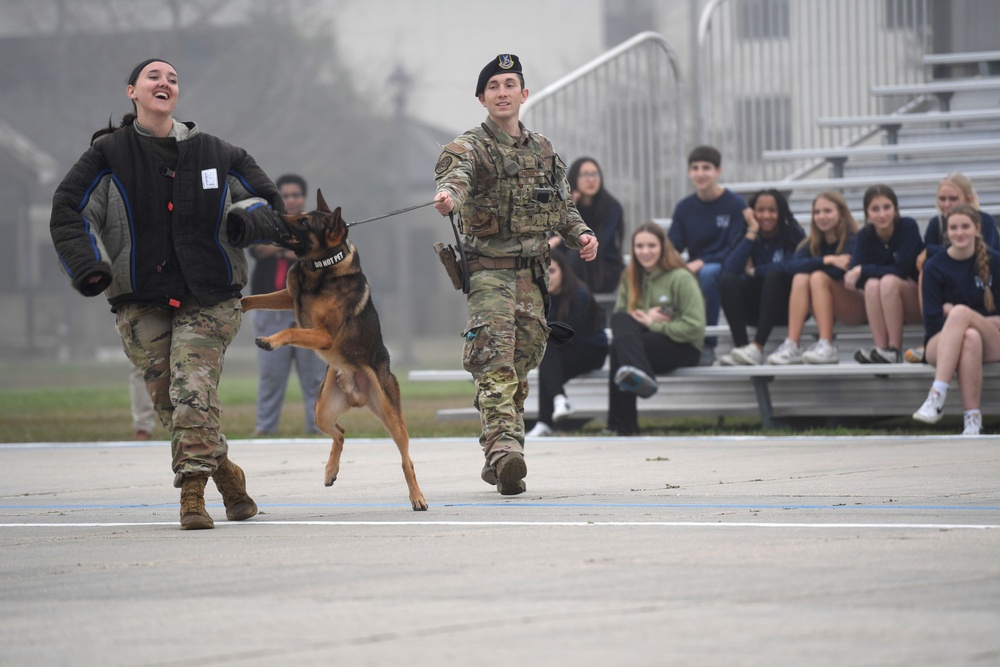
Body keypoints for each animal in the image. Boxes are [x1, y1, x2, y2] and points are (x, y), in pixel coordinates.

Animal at [243, 190, 430, 516]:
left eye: (304, 221)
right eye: (299, 213)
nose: (275, 213)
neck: (321, 267)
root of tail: (356, 391)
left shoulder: (323, 334)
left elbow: (290, 332)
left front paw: (269, 340)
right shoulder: (288, 296)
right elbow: (253, 299)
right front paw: (236, 305)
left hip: (391, 417)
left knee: (406, 459)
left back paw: (417, 497)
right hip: (321, 412)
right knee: (340, 431)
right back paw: (330, 471)